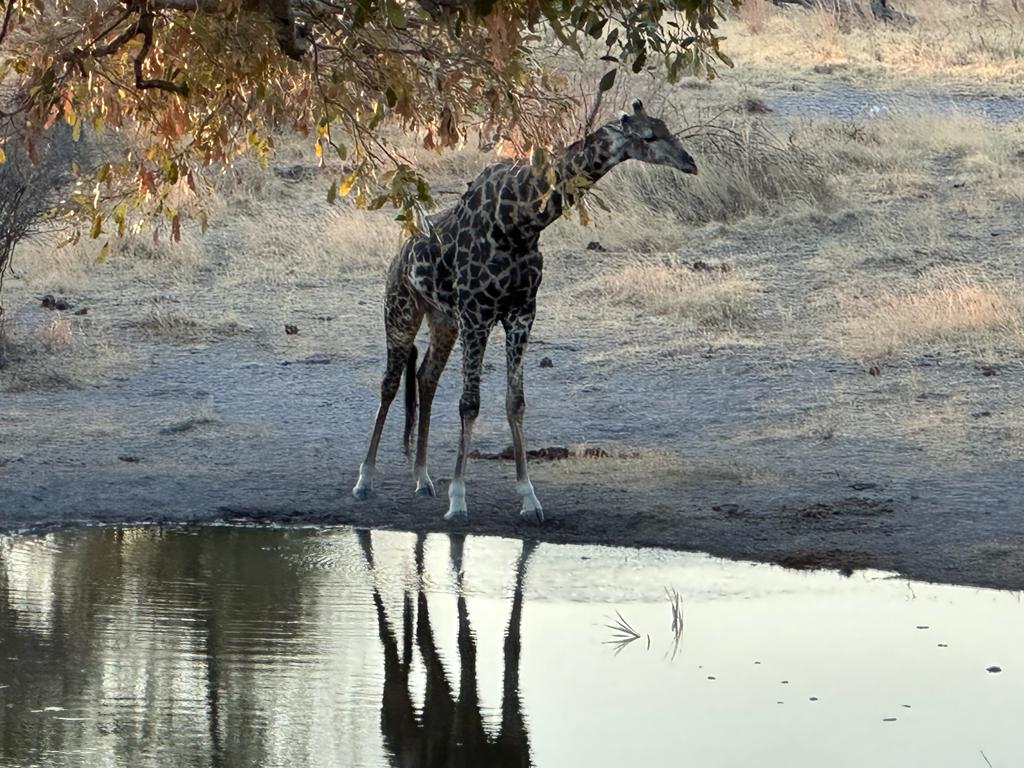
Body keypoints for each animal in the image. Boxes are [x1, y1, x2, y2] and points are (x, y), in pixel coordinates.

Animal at [352, 99, 698, 524]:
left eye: (667, 128)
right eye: (648, 136)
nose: (690, 163)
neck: (520, 224)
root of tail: (399, 256)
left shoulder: (521, 312)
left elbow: (515, 401)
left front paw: (529, 498)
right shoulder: (478, 313)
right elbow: (470, 403)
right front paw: (458, 500)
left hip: (442, 319)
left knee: (426, 376)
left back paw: (422, 478)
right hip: (401, 307)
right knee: (389, 382)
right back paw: (365, 480)